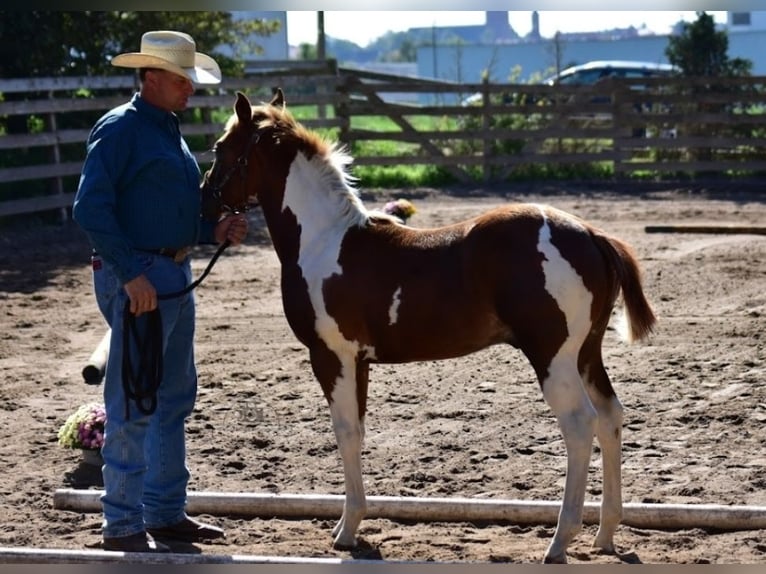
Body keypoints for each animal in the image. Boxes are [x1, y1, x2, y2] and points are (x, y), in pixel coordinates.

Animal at [204, 91, 660, 568]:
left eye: (220, 149)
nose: (206, 203)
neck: (323, 241)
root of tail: (591, 234)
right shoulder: (358, 361)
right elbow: (358, 432)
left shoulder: (331, 356)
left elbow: (345, 433)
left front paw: (347, 532)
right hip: (586, 355)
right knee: (610, 417)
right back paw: (604, 535)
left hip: (553, 358)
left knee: (579, 425)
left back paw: (559, 542)